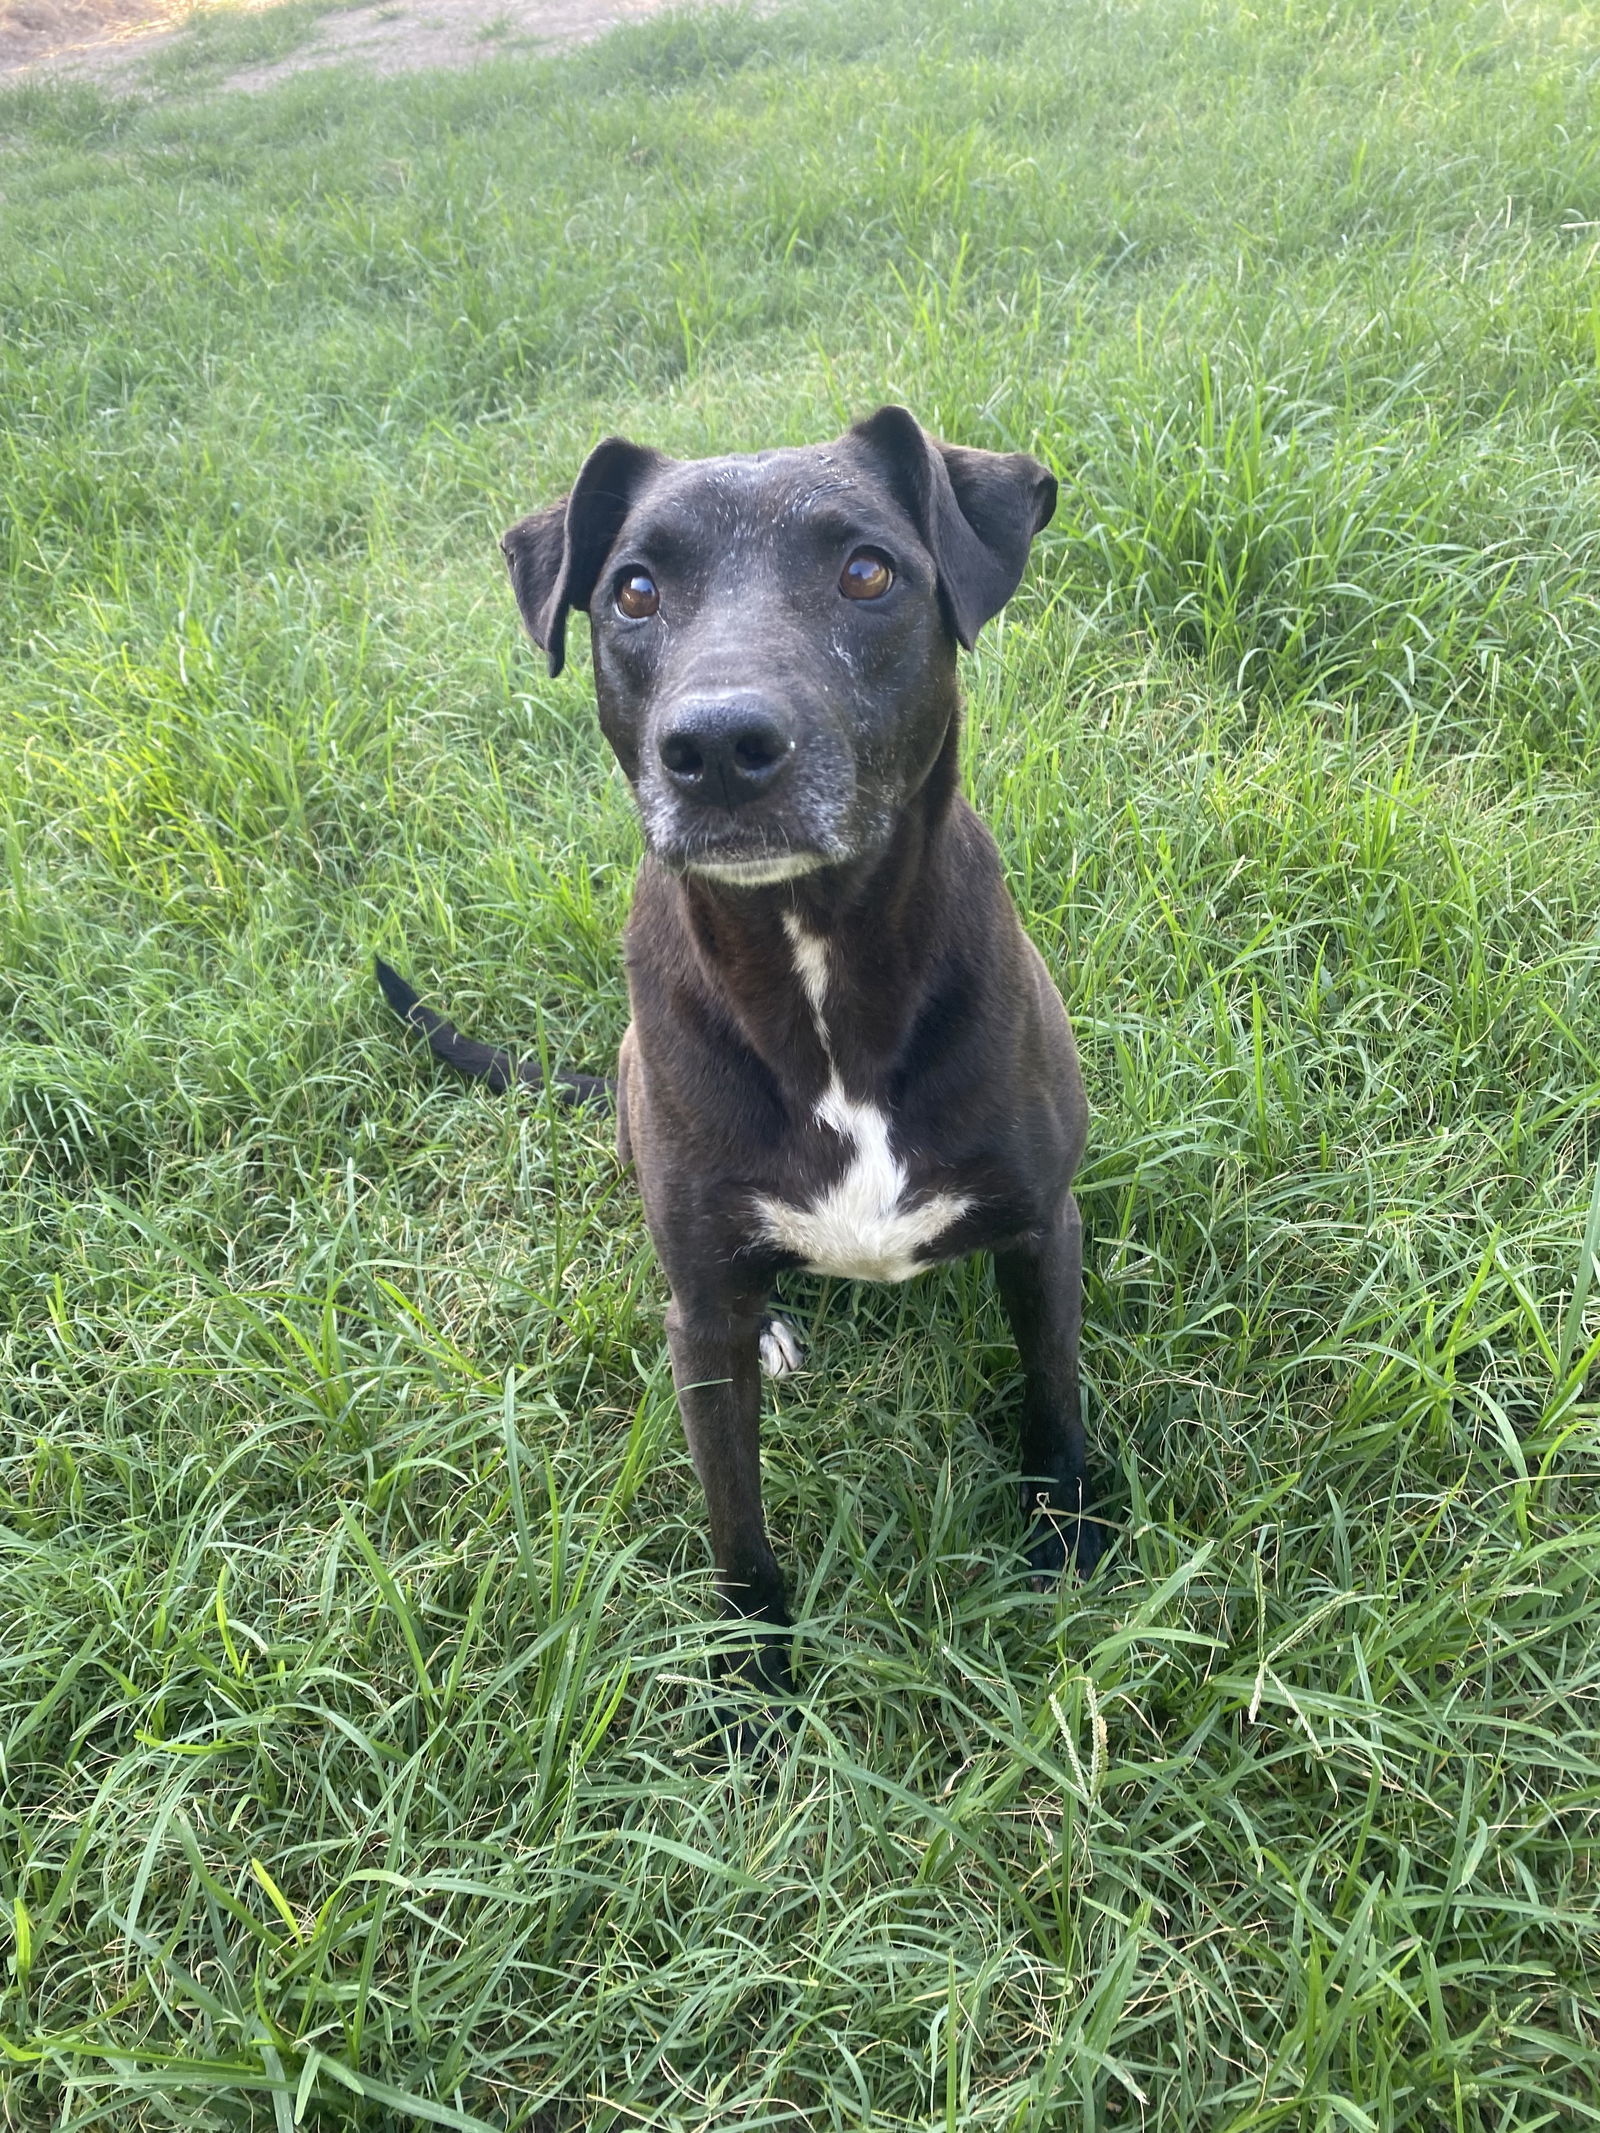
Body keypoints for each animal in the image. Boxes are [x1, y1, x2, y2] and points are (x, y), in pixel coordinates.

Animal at [377, 401, 1100, 1697]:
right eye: (633, 592)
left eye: (867, 571)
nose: (716, 746)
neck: (813, 965)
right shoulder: (699, 1325)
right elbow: (733, 1518)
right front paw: (753, 1680)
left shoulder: (1040, 1227)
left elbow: (1053, 1401)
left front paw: (1068, 1542)